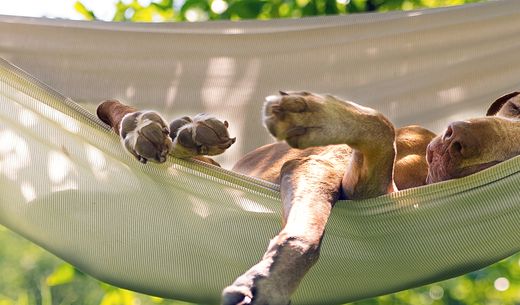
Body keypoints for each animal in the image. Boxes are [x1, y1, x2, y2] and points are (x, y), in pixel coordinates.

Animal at [96, 90, 520, 304]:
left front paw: (267, 281)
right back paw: (153, 127)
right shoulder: (319, 164)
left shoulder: (370, 188)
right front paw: (313, 114)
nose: (454, 135)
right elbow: (380, 124)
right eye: (515, 107)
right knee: (116, 111)